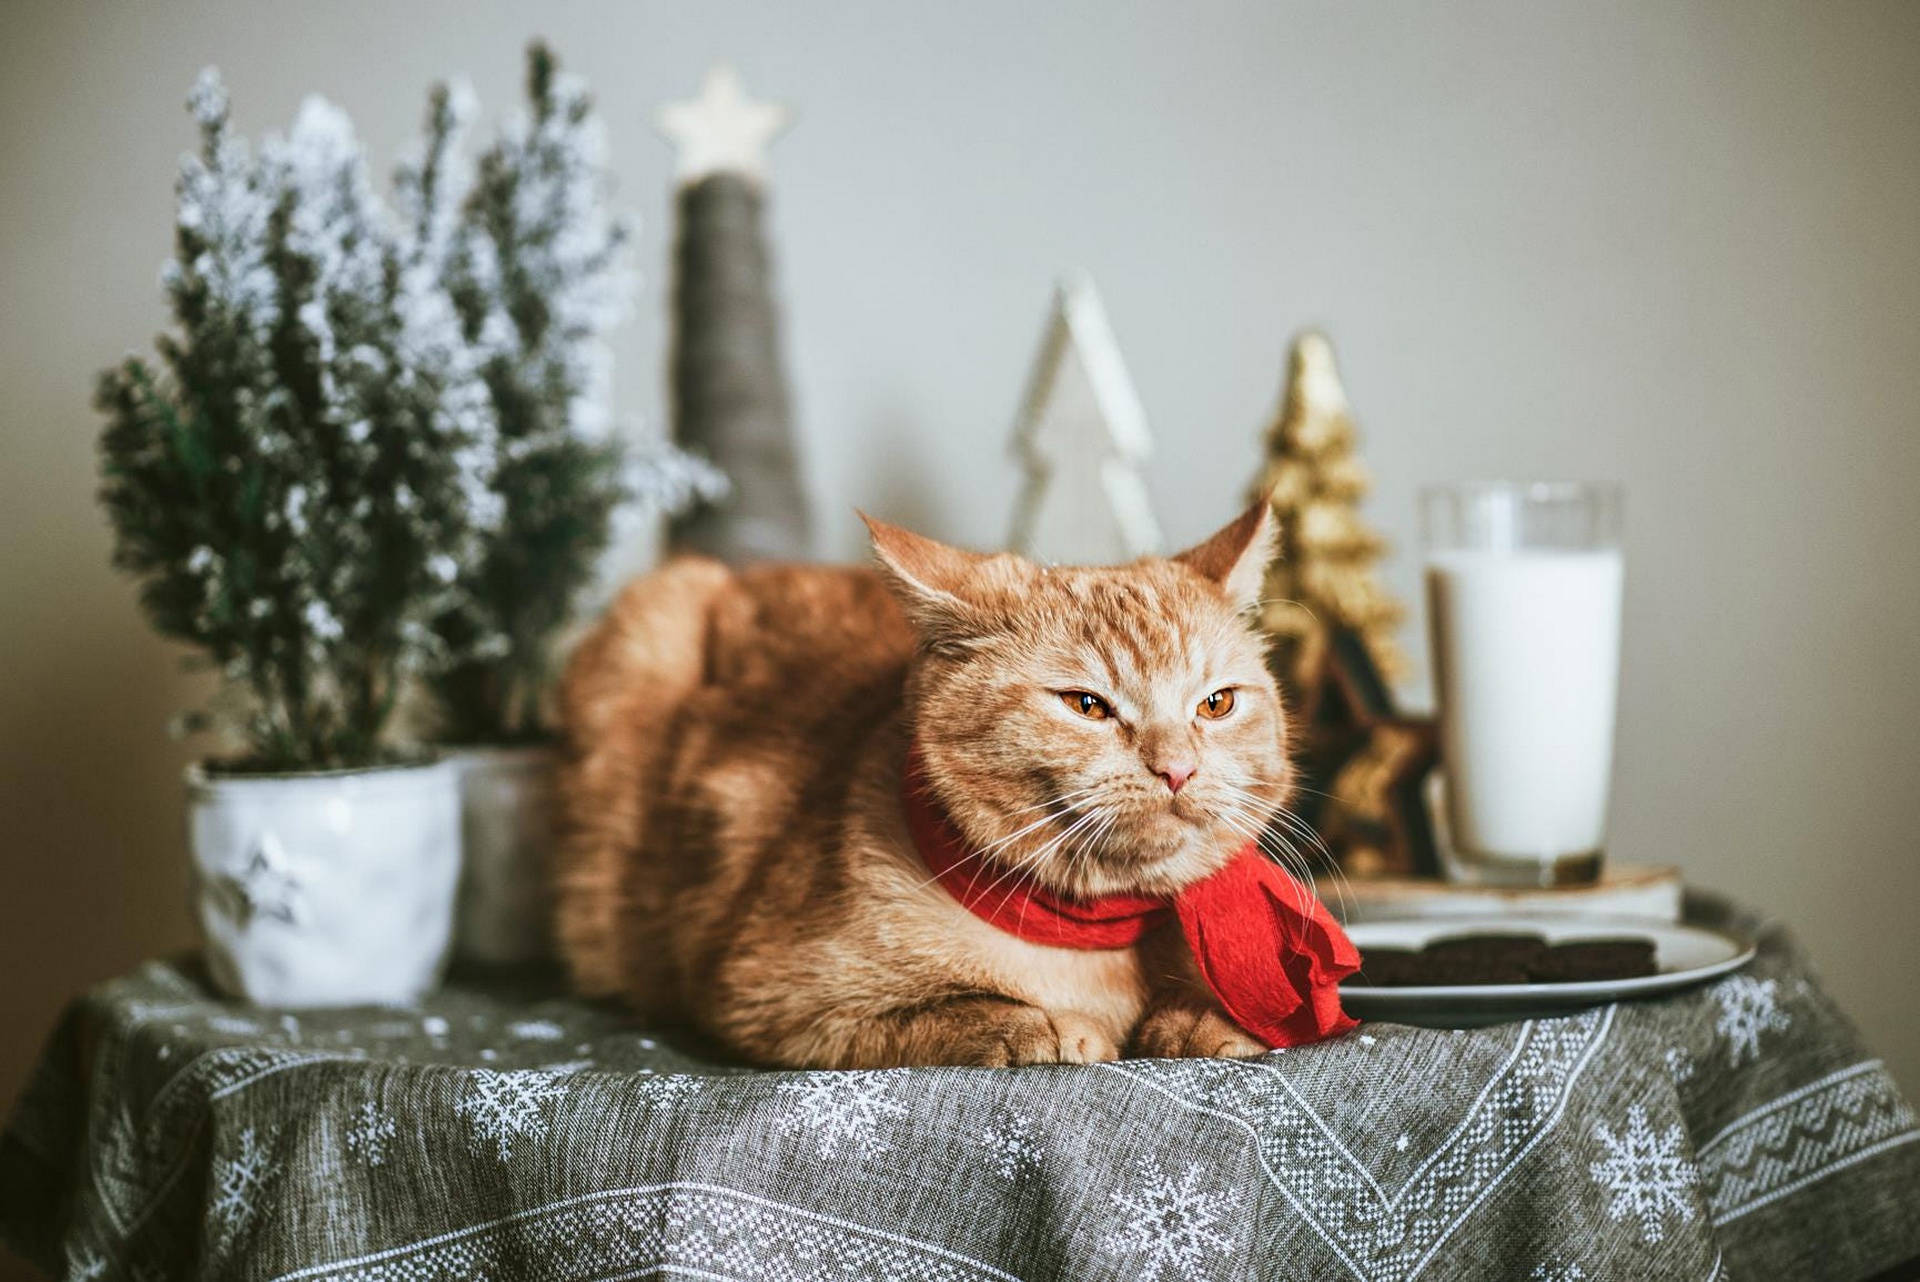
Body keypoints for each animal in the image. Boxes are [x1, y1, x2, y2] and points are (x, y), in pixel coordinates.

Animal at [556, 506, 1305, 1067]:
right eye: (1086, 705)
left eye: (1215, 704)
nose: (1177, 767)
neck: (1094, 943)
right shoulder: (769, 997)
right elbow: (950, 1013)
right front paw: (1043, 1025)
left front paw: (1204, 1018)